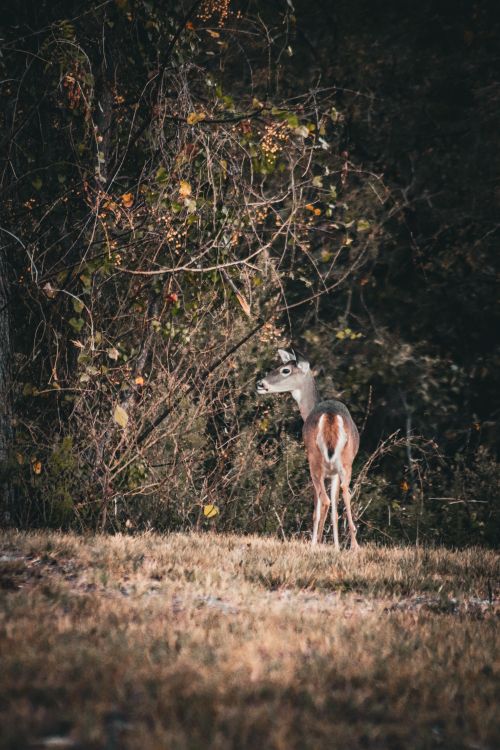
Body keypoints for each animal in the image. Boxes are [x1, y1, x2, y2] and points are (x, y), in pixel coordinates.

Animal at [256, 349, 359, 549]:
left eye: (285, 370)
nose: (260, 384)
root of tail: (330, 416)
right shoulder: (334, 473)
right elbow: (336, 509)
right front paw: (336, 546)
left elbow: (318, 508)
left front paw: (318, 543)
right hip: (345, 462)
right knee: (346, 493)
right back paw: (354, 546)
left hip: (315, 461)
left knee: (324, 501)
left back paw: (315, 544)